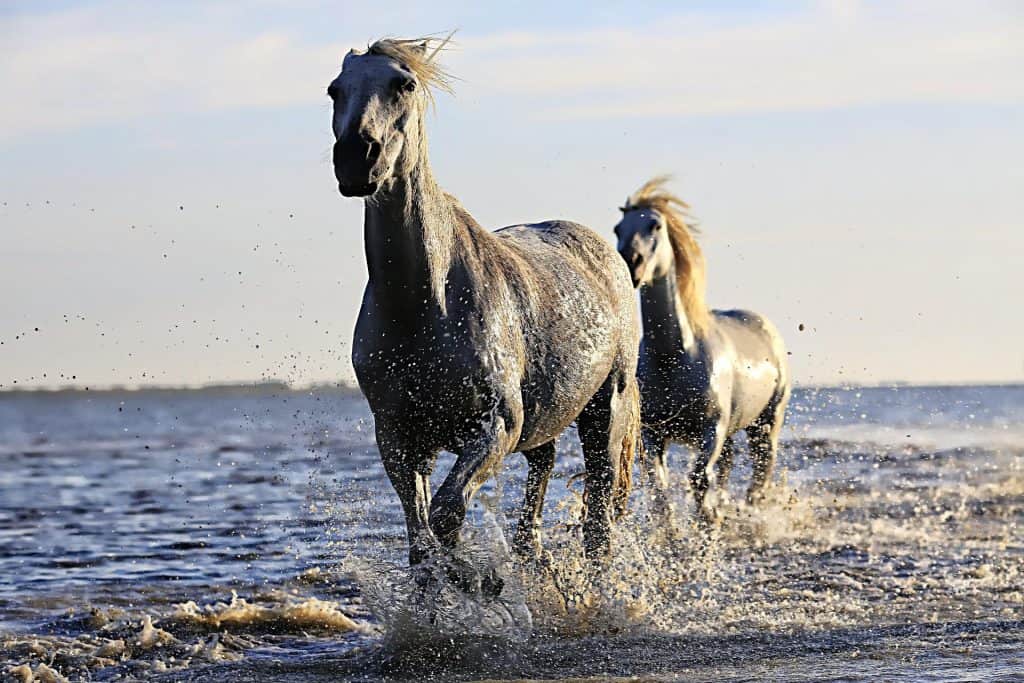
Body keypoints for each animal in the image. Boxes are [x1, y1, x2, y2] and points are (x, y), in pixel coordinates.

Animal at [327, 37, 642, 592]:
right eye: (334, 90)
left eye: (403, 84)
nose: (356, 159)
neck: (424, 306)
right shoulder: (399, 438)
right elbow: (421, 543)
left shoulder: (494, 426)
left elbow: (447, 515)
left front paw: (478, 582)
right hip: (547, 420)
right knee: (542, 474)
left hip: (606, 412)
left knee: (599, 522)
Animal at [613, 176, 790, 528]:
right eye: (618, 229)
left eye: (655, 225)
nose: (631, 262)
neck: (675, 358)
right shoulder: (653, 433)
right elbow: (659, 489)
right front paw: (673, 533)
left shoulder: (711, 429)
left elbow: (698, 480)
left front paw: (709, 522)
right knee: (728, 466)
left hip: (766, 422)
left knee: (761, 471)